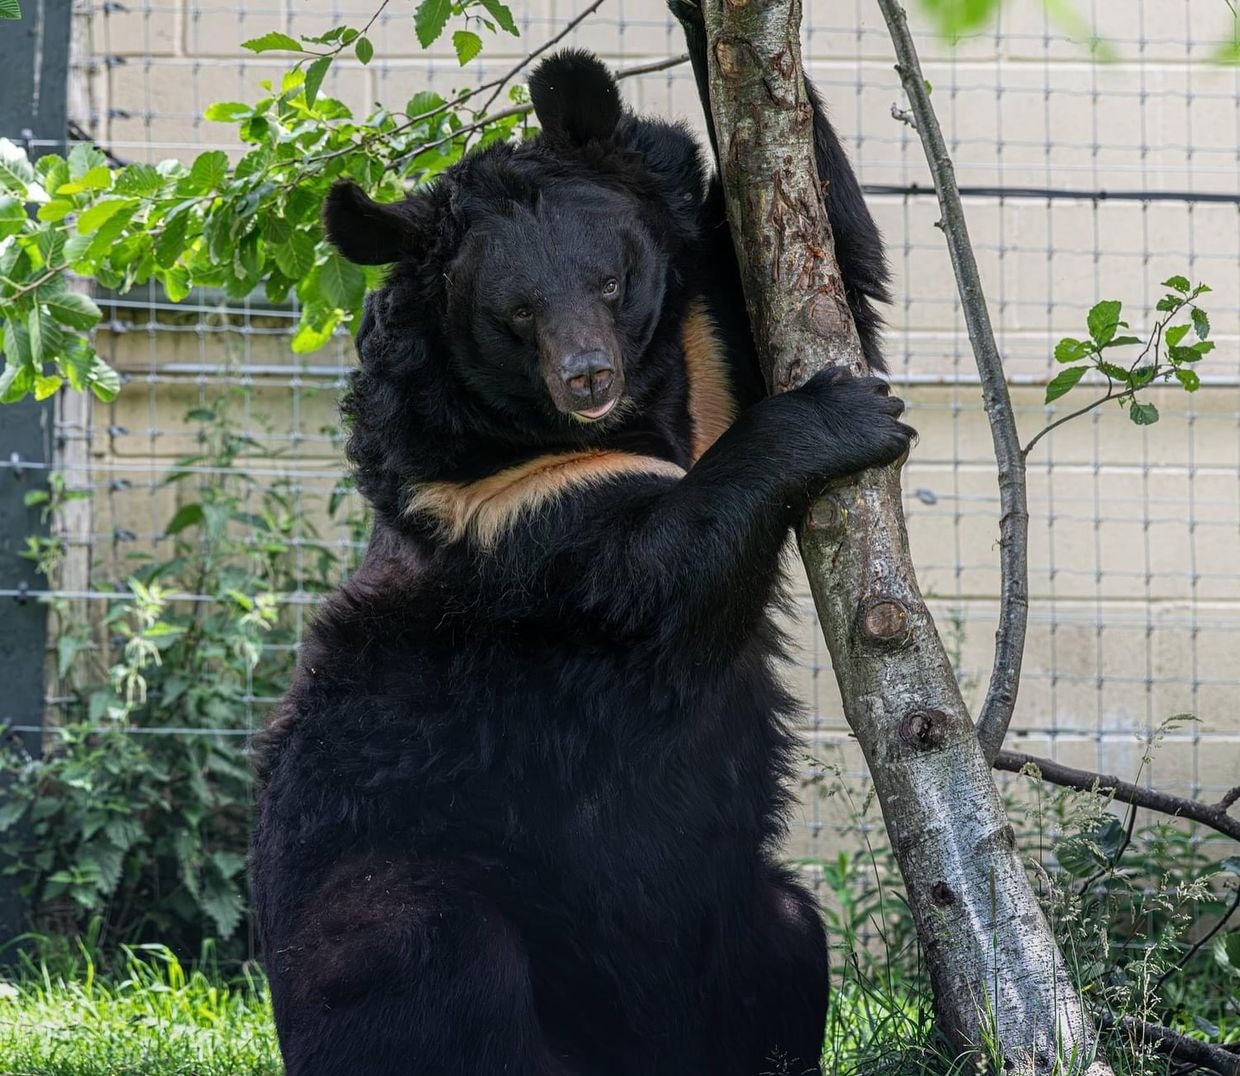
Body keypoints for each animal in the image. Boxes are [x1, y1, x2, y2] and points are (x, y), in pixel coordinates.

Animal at [250, 44, 911, 1076]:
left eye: (609, 282)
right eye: (516, 313)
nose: (587, 378)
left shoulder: (705, 347)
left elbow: (826, 267)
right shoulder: (505, 521)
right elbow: (662, 577)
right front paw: (846, 416)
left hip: (732, 923)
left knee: (789, 940)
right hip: (384, 887)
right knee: (432, 963)